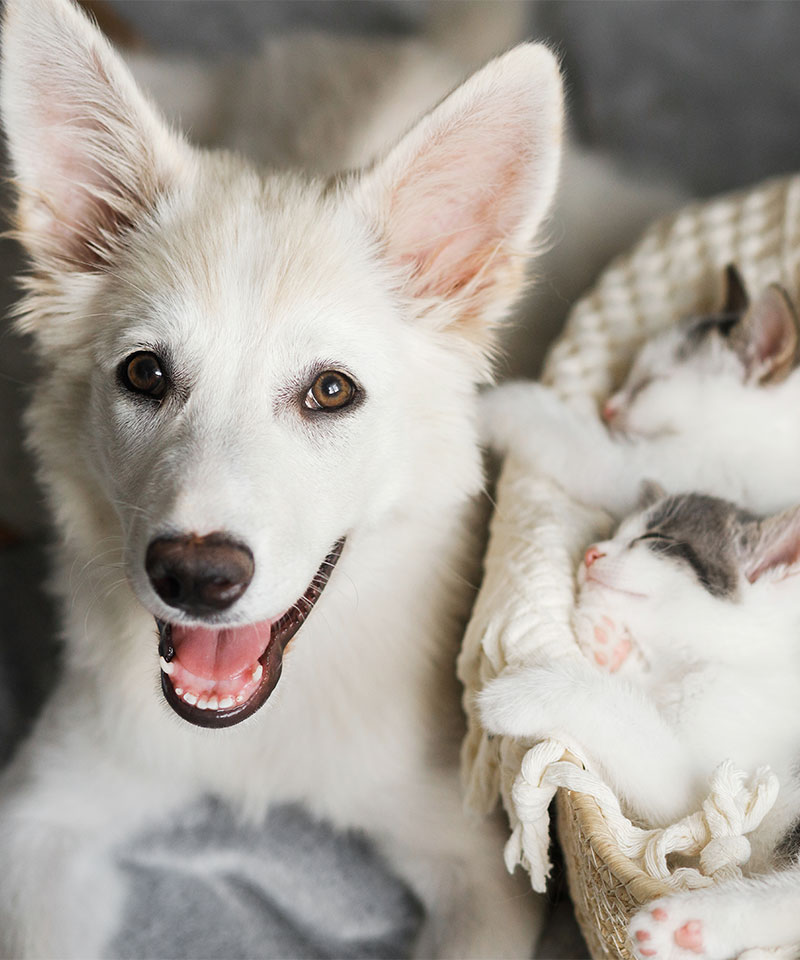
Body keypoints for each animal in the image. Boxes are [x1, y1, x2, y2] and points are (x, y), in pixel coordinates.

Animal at [478, 492, 800, 960]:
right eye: (615, 534)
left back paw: (689, 924)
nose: (592, 553)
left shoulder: (710, 789)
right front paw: (608, 644)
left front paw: (522, 692)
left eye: (654, 539)